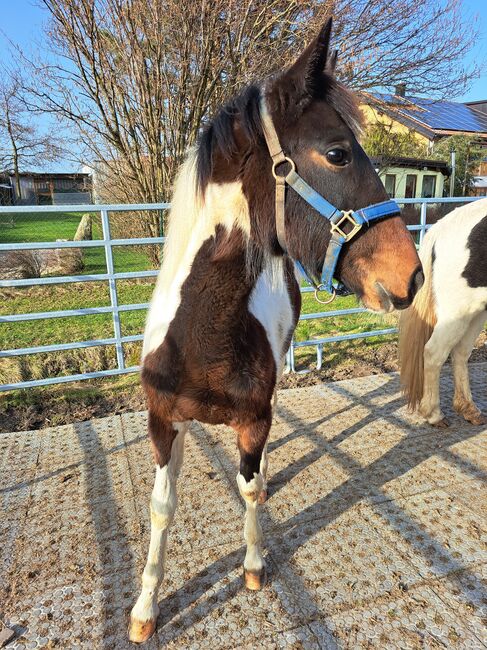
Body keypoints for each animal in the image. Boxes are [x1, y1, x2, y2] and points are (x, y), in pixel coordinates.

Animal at [130, 19, 424, 636]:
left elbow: (248, 491)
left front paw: (254, 565)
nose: (410, 275)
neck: (201, 340)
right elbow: (162, 507)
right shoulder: (163, 421)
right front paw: (144, 608)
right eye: (337, 153)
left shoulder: (253, 418)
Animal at [400, 197, 487, 426]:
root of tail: (442, 229)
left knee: (460, 352)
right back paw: (434, 413)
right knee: (434, 353)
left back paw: (469, 409)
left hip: (475, 311)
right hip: (458, 312)